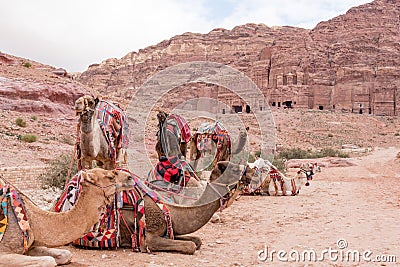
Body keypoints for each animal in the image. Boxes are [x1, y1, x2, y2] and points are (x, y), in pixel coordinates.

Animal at [0, 170, 134, 267]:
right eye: (110, 177)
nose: (130, 177)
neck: (31, 220)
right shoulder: (4, 252)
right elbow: (48, 261)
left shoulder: (30, 246)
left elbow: (65, 254)